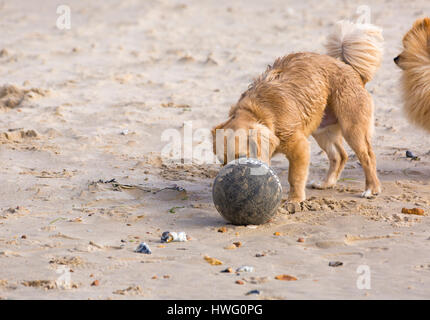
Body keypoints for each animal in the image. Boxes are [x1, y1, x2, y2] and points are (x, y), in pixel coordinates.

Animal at [212, 21, 382, 202]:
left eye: (242, 158)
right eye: (222, 161)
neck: (260, 113)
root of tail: (353, 71)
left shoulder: (300, 147)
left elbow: (295, 177)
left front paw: (294, 200)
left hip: (352, 129)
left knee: (368, 157)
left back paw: (371, 188)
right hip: (323, 131)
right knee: (339, 156)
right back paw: (326, 183)